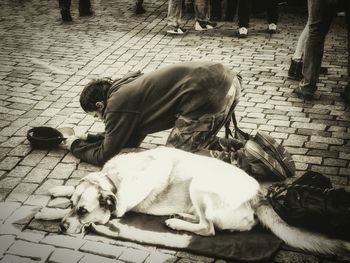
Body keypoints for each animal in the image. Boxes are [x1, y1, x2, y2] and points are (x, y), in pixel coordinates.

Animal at [60, 147, 350, 255]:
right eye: (72, 206)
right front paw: (59, 191)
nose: (62, 227)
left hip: (200, 183)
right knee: (205, 221)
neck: (113, 180)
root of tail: (257, 194)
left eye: (83, 211)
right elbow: (67, 188)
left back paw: (177, 224)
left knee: (208, 228)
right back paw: (181, 216)